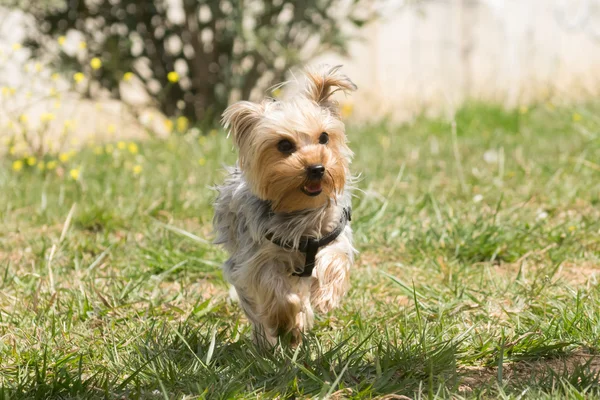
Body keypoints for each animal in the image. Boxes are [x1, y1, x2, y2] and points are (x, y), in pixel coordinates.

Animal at [214, 64, 356, 346]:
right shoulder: (258, 258)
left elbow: (335, 259)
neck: (300, 209)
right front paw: (285, 321)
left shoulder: (334, 234)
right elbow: (276, 290)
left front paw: (325, 297)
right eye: (284, 145)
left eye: (324, 137)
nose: (317, 168)